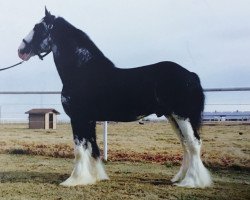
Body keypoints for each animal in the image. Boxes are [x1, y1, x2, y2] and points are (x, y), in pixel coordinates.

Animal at [18, 8, 212, 188]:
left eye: (38, 27)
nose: (21, 50)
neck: (83, 72)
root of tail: (191, 75)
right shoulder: (89, 119)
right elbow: (93, 148)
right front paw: (95, 177)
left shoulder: (78, 118)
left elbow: (80, 149)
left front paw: (74, 180)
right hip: (173, 117)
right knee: (185, 145)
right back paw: (179, 178)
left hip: (182, 116)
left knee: (194, 144)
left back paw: (192, 182)